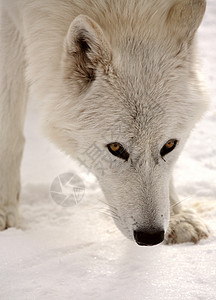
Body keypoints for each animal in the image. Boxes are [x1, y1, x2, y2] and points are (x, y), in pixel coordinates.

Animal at [0, 0, 209, 246]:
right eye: (116, 148)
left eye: (169, 145)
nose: (150, 236)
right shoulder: (8, 18)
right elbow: (9, 134)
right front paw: (4, 210)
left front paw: (177, 217)